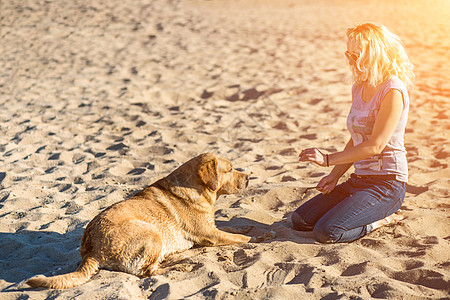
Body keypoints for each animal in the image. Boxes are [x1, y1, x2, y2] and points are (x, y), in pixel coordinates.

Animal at [27, 154, 268, 290]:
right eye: (230, 169)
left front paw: (258, 230)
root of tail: (90, 251)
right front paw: (260, 237)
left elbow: (237, 228)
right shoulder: (210, 234)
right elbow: (240, 237)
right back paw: (179, 265)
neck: (197, 188)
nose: (249, 178)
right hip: (152, 232)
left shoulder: (214, 228)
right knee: (146, 272)